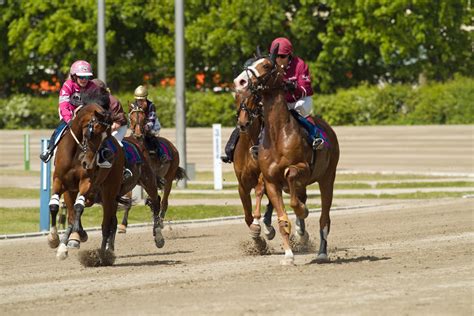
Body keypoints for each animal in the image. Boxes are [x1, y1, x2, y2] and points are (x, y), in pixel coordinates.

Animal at [120, 102, 187, 231]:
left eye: (143, 118)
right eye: (131, 117)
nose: (138, 134)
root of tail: (173, 147)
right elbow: (129, 200)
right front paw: (122, 225)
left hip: (169, 177)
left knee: (164, 201)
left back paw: (160, 222)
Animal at [232, 91, 276, 239]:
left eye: (254, 99)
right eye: (237, 98)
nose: (243, 123)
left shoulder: (263, 178)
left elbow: (259, 191)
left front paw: (257, 226)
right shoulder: (242, 185)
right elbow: (247, 216)